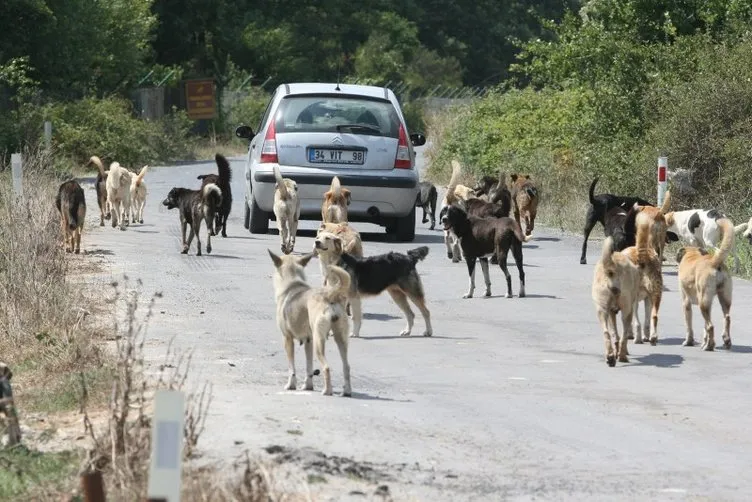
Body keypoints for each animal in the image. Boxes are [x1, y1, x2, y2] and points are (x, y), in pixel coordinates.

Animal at [268, 251, 354, 396]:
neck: (292, 283)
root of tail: (330, 294)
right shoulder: (308, 341)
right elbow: (309, 367)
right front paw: (307, 386)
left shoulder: (287, 339)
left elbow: (292, 367)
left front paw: (291, 385)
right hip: (340, 339)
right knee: (346, 366)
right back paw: (346, 391)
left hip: (319, 340)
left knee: (326, 367)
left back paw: (327, 391)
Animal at [592, 235, 640, 364]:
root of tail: (611, 268)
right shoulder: (628, 310)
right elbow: (623, 335)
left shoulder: (611, 312)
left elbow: (614, 334)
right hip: (626, 312)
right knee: (624, 335)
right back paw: (622, 356)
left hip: (602, 310)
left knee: (606, 333)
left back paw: (610, 356)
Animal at [620, 209, 660, 346]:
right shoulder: (647, 299)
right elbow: (646, 321)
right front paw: (645, 336)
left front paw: (629, 334)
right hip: (656, 294)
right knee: (654, 317)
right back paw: (652, 337)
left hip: (635, 298)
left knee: (637, 322)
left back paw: (637, 339)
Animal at [676, 218, 736, 352]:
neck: (692, 254)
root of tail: (714, 262)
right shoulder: (709, 304)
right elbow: (704, 329)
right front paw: (704, 342)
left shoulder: (686, 302)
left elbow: (689, 326)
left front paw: (688, 342)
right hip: (722, 299)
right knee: (727, 318)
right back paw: (726, 341)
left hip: (703, 303)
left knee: (710, 326)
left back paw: (709, 346)